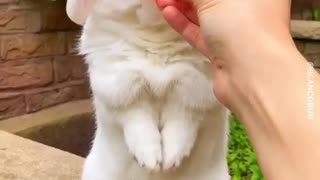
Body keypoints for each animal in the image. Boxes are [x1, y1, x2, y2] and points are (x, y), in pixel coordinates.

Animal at [76, 0, 229, 180]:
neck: (157, 32)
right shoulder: (121, 87)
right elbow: (137, 120)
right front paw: (150, 161)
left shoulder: (193, 89)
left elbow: (182, 122)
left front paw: (171, 160)